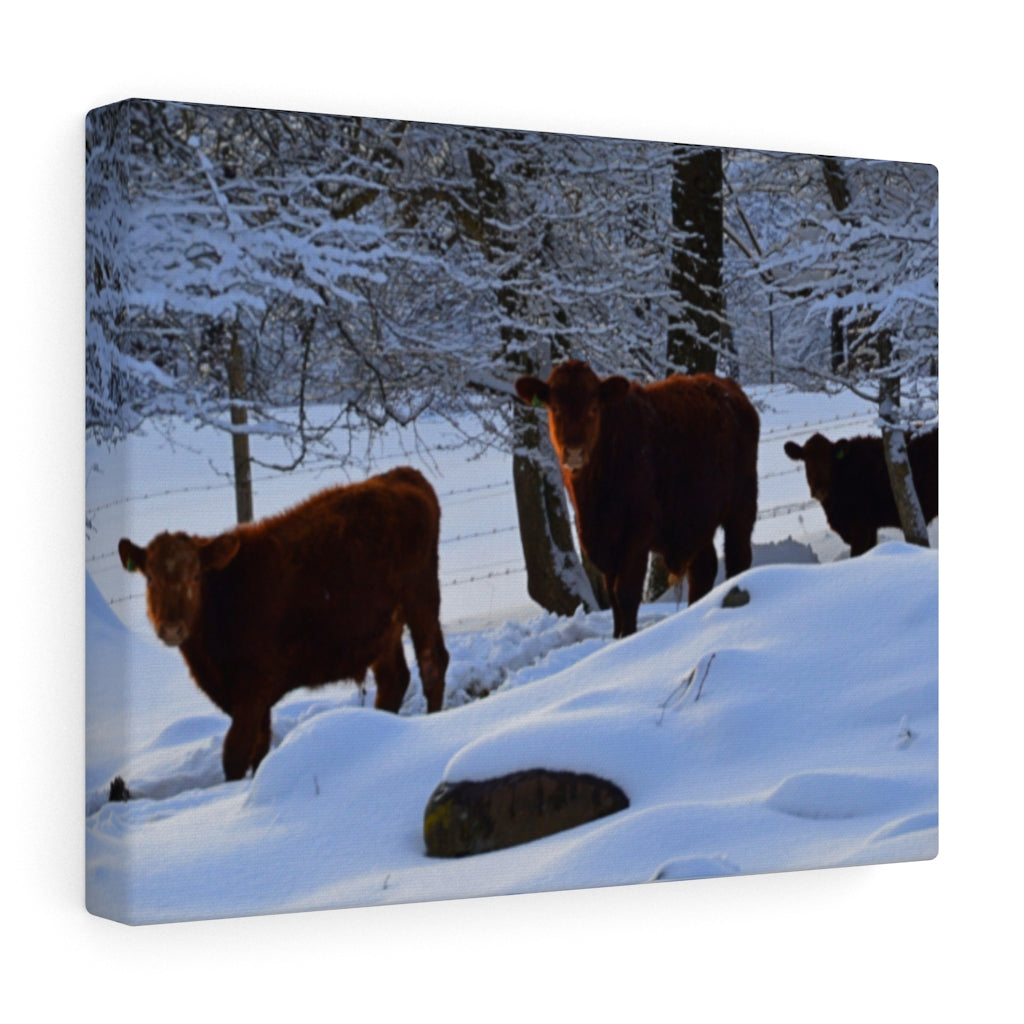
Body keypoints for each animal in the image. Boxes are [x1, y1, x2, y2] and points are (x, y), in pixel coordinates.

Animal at [118, 466, 449, 781]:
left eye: (197, 576)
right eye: (150, 578)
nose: (171, 627)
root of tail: (401, 475)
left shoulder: (252, 689)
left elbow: (235, 755)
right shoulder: (253, 699)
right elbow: (259, 751)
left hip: (421, 598)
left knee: (432, 663)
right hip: (383, 630)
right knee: (394, 679)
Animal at [515, 360, 760, 638]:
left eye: (593, 408)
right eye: (555, 408)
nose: (574, 451)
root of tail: (728, 388)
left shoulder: (636, 536)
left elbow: (626, 594)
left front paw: (628, 638)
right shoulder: (602, 543)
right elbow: (613, 598)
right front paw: (616, 637)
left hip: (742, 507)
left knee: (737, 558)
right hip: (696, 520)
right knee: (703, 569)